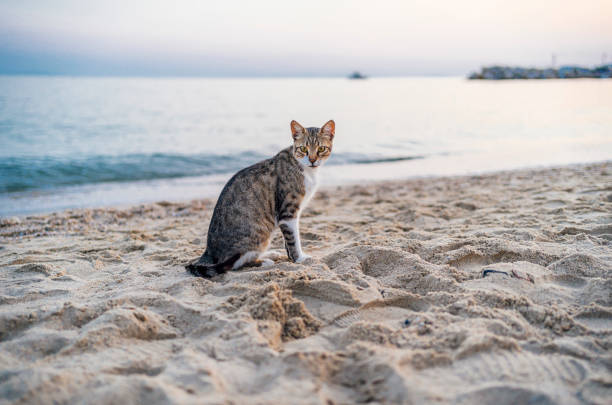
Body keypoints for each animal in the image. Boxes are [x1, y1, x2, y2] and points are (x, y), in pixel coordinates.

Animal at [186, 119, 334, 278]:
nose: (312, 160)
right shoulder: (288, 212)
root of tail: (209, 251)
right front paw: (299, 258)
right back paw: (264, 261)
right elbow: (293, 239)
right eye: (304, 149)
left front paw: (291, 258)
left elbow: (288, 240)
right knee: (234, 264)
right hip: (259, 235)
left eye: (321, 149)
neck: (306, 170)